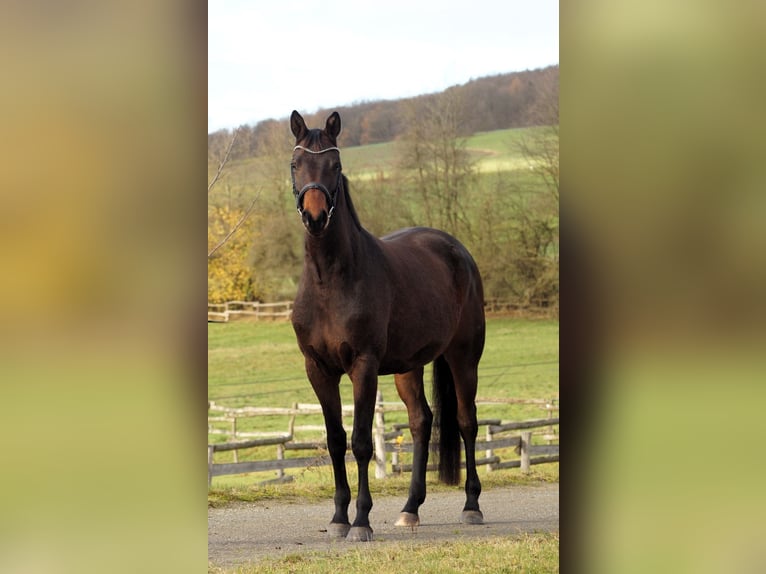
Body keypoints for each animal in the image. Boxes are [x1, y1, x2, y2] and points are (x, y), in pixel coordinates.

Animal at [288, 109, 486, 544]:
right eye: (295, 164)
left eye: (335, 165)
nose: (314, 217)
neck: (332, 279)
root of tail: (456, 250)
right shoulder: (318, 370)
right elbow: (335, 440)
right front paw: (338, 518)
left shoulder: (363, 366)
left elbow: (362, 442)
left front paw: (361, 521)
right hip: (408, 367)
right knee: (421, 422)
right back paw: (410, 509)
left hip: (464, 358)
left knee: (466, 421)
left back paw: (471, 506)